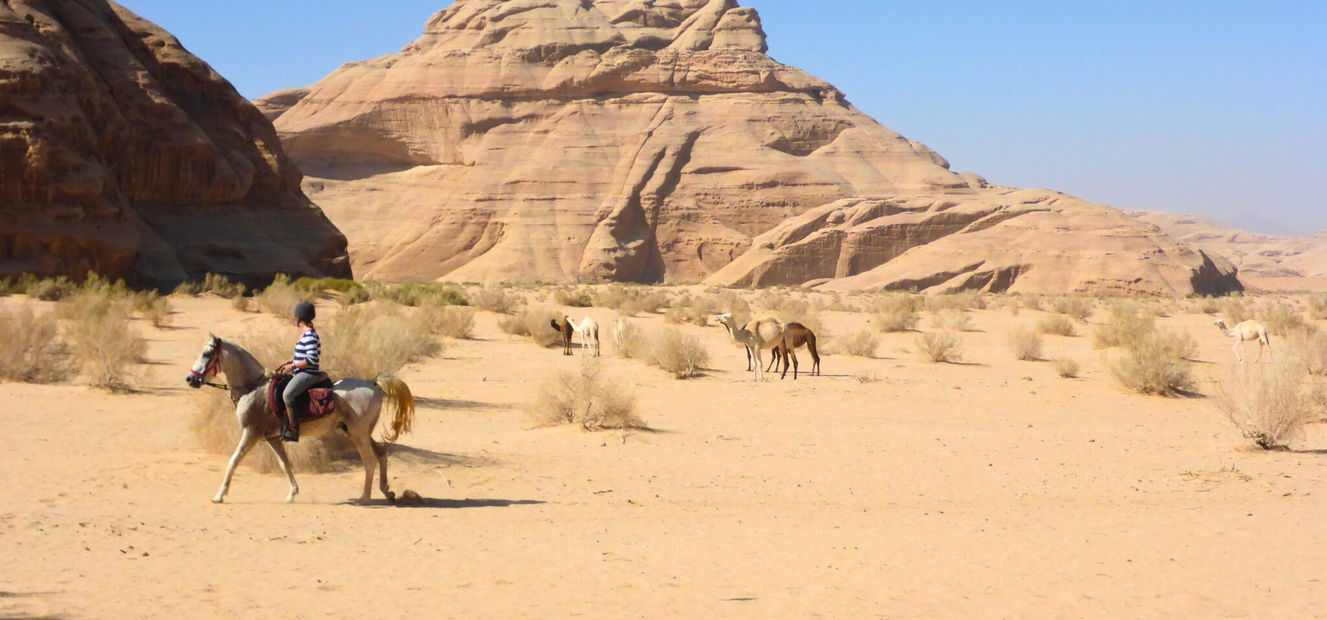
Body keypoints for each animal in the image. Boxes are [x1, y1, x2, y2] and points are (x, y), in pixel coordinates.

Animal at [186, 335, 415, 505]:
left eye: (207, 353)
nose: (190, 379)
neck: (253, 388)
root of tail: (372, 384)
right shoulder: (272, 437)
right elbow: (284, 464)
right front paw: (292, 494)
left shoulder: (251, 433)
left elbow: (233, 461)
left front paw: (219, 496)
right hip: (355, 431)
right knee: (381, 452)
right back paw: (386, 491)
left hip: (358, 434)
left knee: (369, 461)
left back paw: (365, 498)